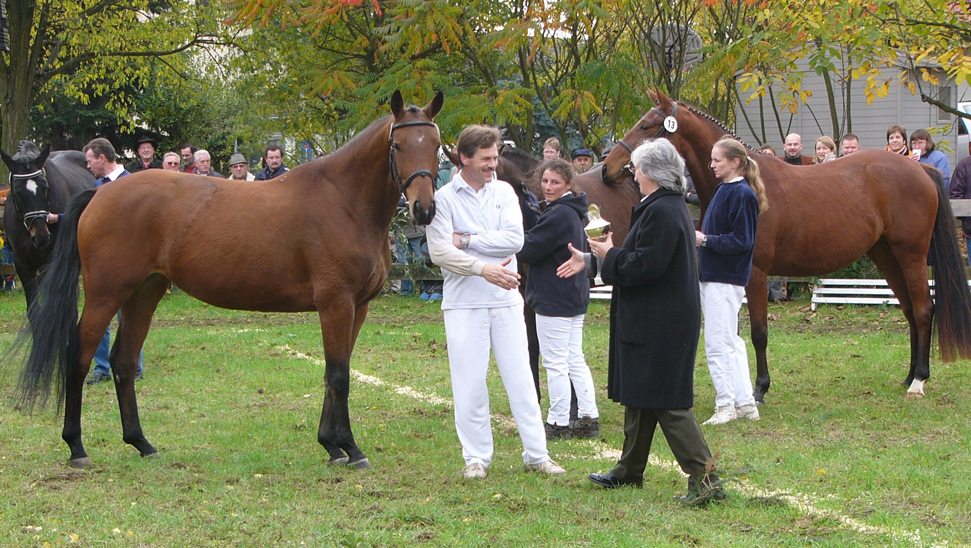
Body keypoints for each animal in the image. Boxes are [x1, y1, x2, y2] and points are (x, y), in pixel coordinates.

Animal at [13, 92, 446, 468]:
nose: (424, 208)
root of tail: (100, 194)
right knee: (79, 357)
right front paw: (350, 449)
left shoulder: (358, 307)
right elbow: (339, 376)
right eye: (398, 146)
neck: (345, 200)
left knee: (123, 360)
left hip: (144, 292)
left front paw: (331, 445)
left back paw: (141, 443)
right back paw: (76, 447)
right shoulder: (336, 304)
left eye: (437, 144)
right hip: (106, 294)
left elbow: (334, 372)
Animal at [600, 91, 971, 402]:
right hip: (886, 256)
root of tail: (919, 168)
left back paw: (919, 380)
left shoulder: (756, 273)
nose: (607, 168)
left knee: (923, 310)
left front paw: (760, 389)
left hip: (911, 254)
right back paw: (908, 376)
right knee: (909, 311)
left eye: (646, 125)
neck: (744, 182)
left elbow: (759, 333)